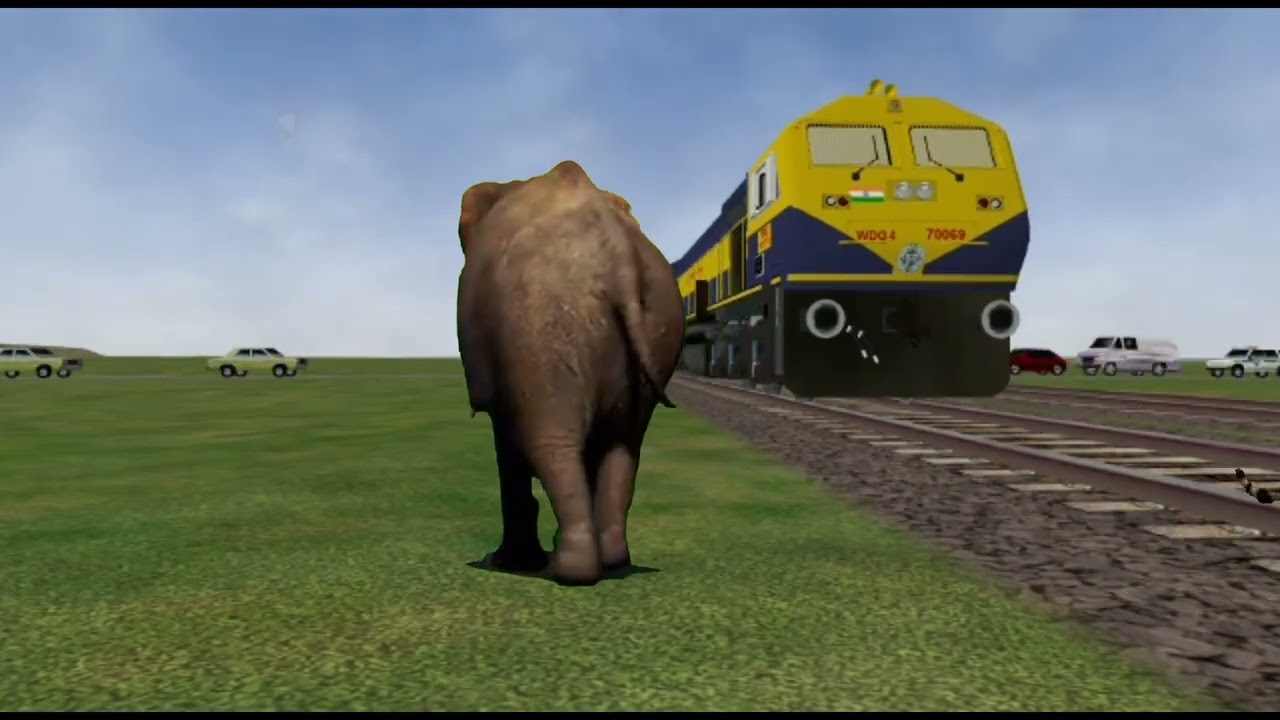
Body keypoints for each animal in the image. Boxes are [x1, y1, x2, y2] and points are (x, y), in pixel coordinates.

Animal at [456, 160, 685, 586]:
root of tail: (617, 250)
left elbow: (506, 442)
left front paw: (508, 562)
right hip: (657, 321)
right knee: (624, 446)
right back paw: (613, 562)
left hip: (541, 328)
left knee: (551, 443)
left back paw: (568, 571)